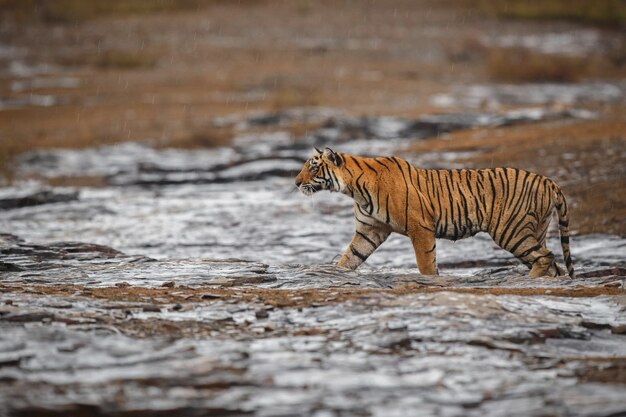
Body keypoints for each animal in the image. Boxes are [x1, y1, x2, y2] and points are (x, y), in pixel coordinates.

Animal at [294, 146, 572, 276]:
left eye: (313, 167)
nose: (296, 182)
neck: (354, 189)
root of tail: (549, 181)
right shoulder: (369, 230)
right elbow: (349, 258)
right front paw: (335, 273)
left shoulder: (420, 228)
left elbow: (425, 263)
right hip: (533, 230)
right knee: (553, 264)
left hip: (511, 231)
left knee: (546, 257)